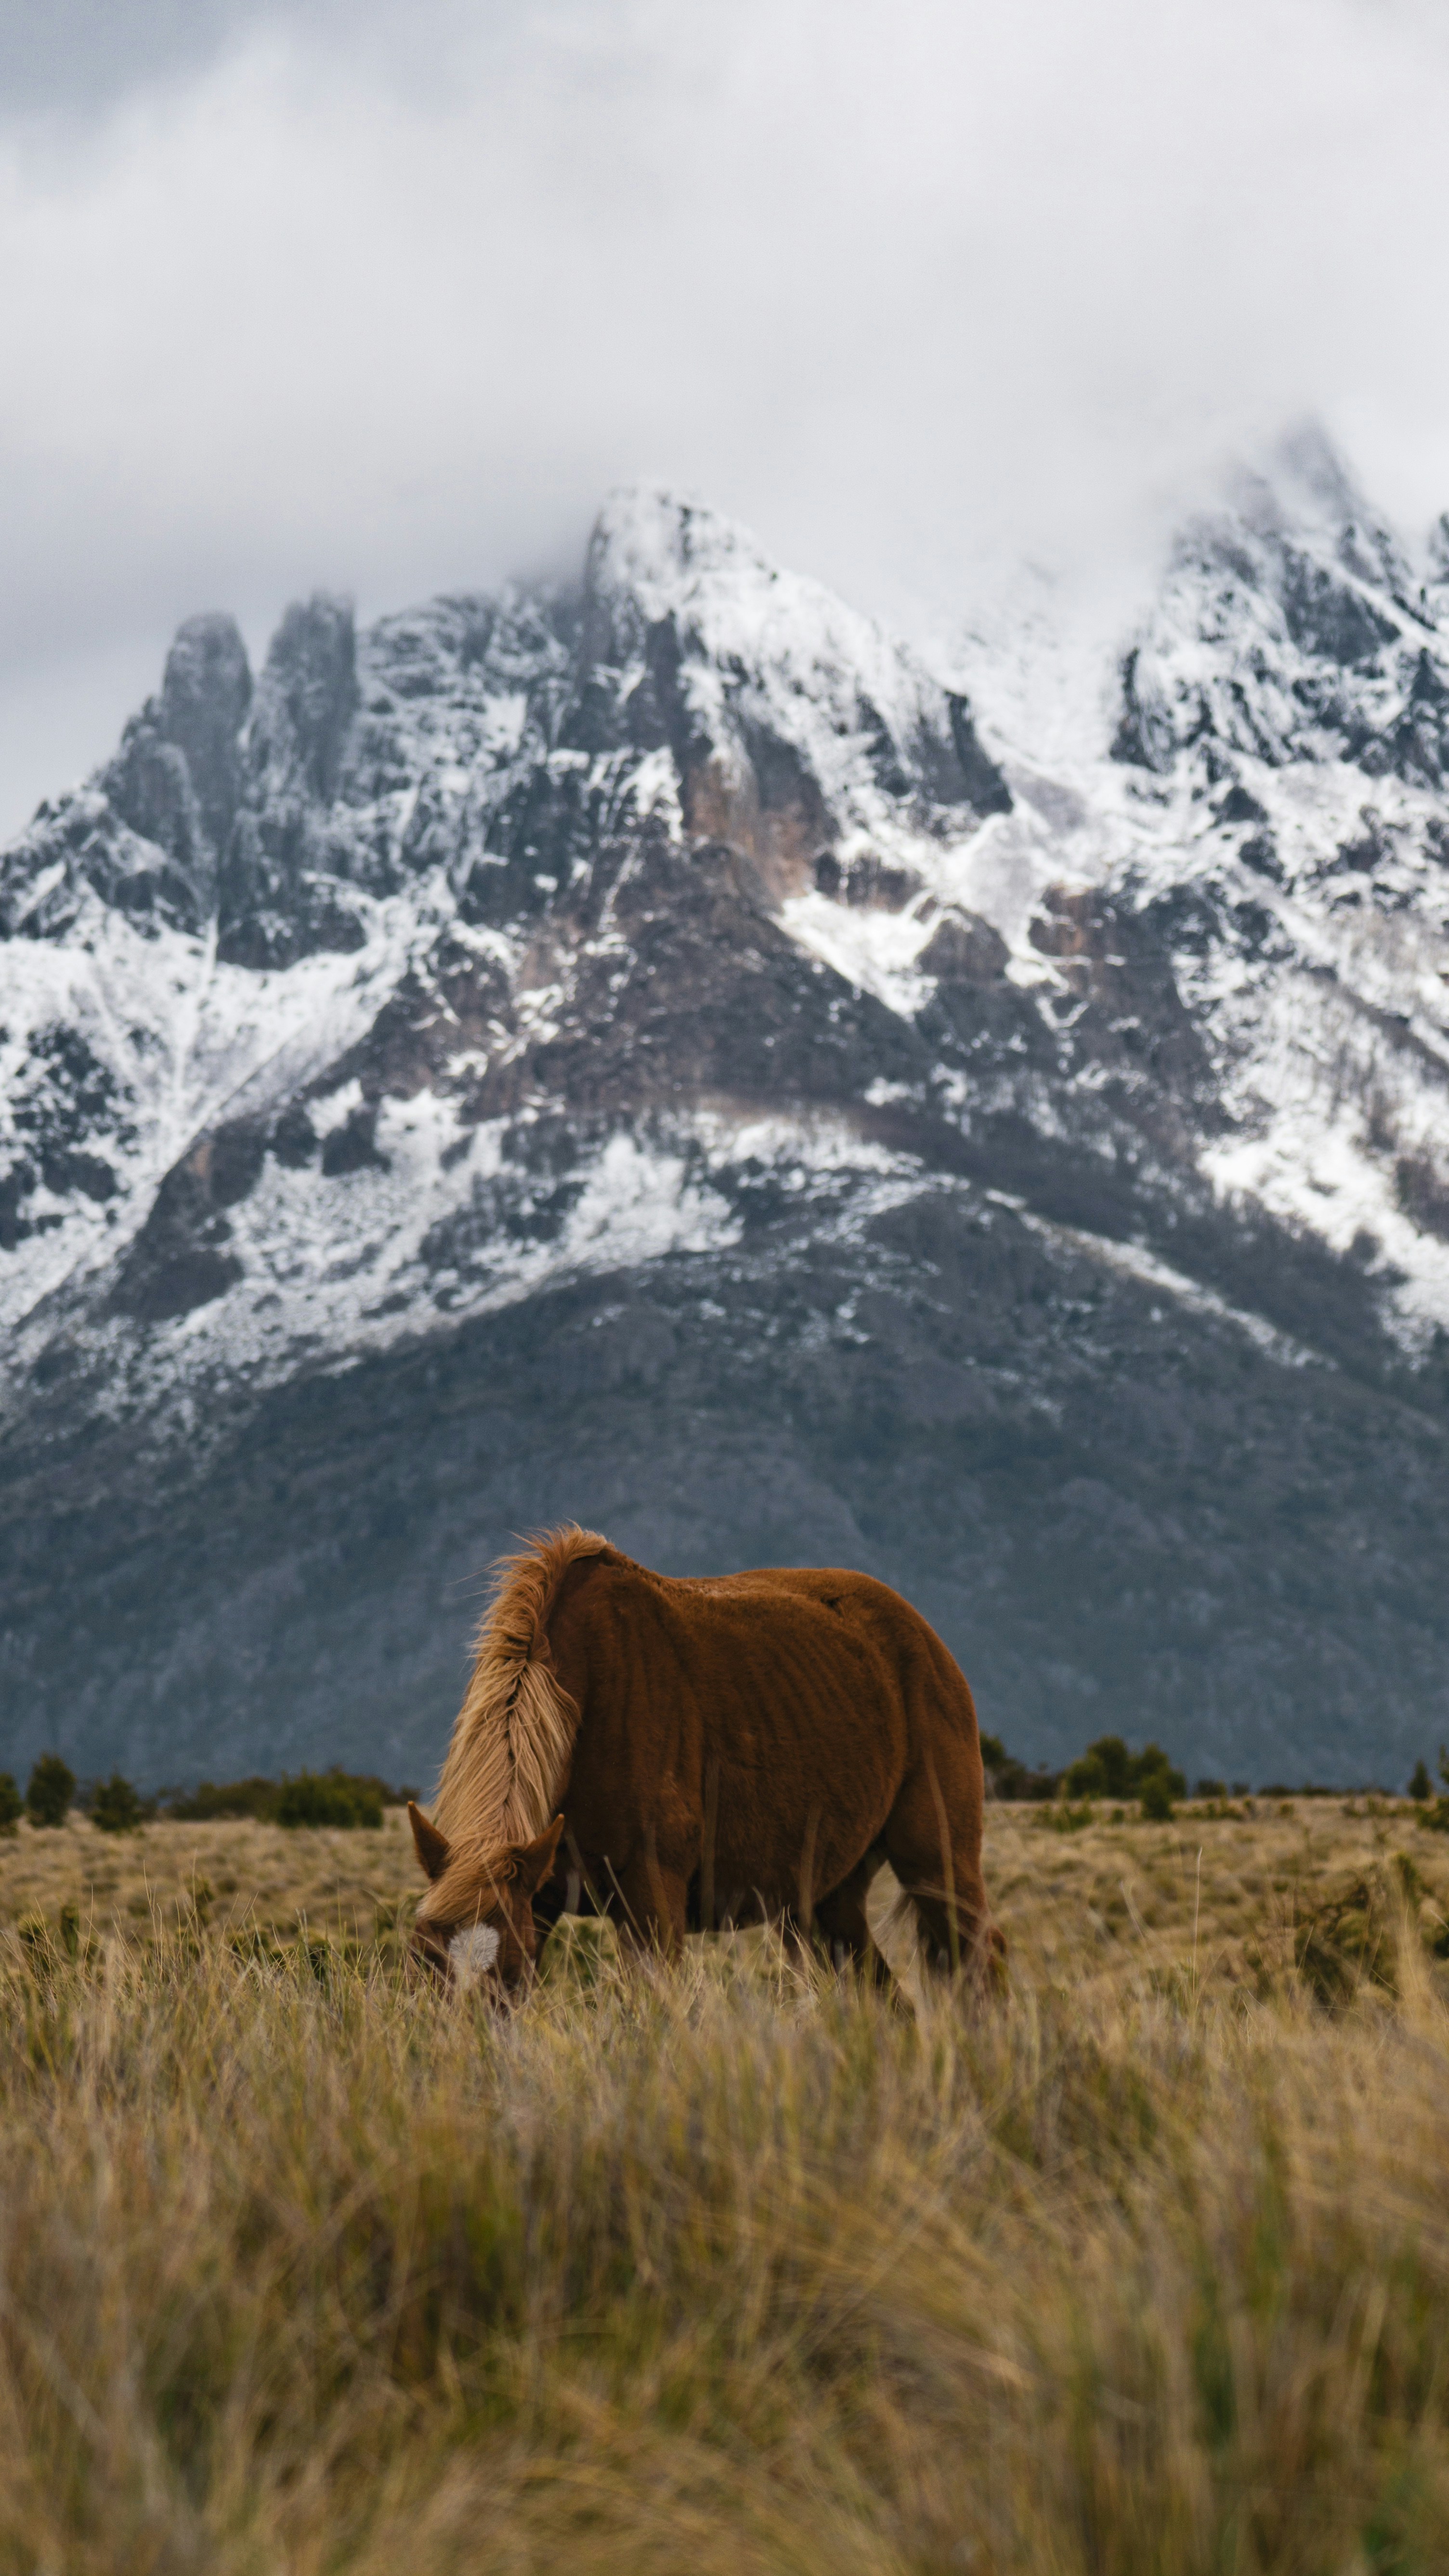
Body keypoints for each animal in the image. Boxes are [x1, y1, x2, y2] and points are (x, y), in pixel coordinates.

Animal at [408, 1524, 1004, 1997]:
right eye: (422, 1957)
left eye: (505, 1970)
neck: (589, 1699)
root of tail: (925, 1638)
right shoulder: (540, 1893)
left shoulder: (652, 1899)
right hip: (828, 1902)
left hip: (937, 1862)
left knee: (983, 1957)